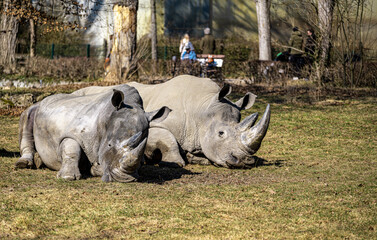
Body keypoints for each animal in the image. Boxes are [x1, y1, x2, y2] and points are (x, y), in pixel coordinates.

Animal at [15, 84, 170, 182]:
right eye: (109, 145)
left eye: (142, 147)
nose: (124, 179)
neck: (106, 118)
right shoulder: (72, 133)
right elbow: (71, 150)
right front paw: (68, 177)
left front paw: (95, 168)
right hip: (36, 107)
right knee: (27, 117)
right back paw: (23, 164)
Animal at [73, 75, 268, 169]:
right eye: (221, 133)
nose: (245, 161)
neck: (202, 110)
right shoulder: (154, 124)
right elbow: (168, 139)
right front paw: (176, 162)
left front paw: (197, 158)